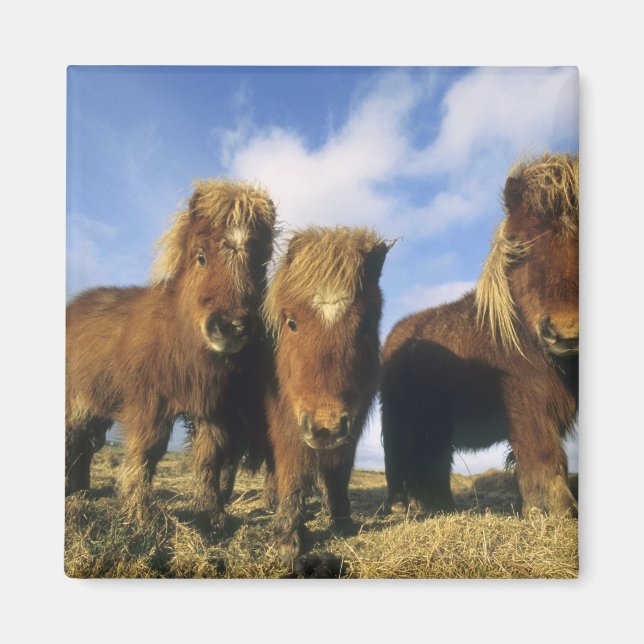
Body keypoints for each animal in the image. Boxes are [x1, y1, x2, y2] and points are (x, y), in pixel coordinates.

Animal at [65, 179, 276, 529]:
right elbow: (147, 451)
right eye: (201, 257)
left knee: (84, 443)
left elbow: (209, 458)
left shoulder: (213, 409)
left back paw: (79, 489)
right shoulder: (149, 403)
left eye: (259, 266)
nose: (230, 327)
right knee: (72, 438)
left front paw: (211, 515)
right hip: (77, 402)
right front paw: (138, 513)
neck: (179, 337)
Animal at [262, 227, 392, 561]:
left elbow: (338, 473)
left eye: (366, 324)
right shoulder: (287, 421)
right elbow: (292, 471)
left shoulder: (352, 426)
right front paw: (287, 539)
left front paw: (342, 521)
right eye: (292, 322)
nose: (325, 428)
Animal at [381, 152, 579, 518]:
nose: (565, 333)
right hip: (399, 420)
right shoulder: (528, 403)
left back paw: (440, 506)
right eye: (520, 247)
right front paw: (554, 511)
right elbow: (542, 452)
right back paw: (402, 506)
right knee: (398, 459)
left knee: (432, 462)